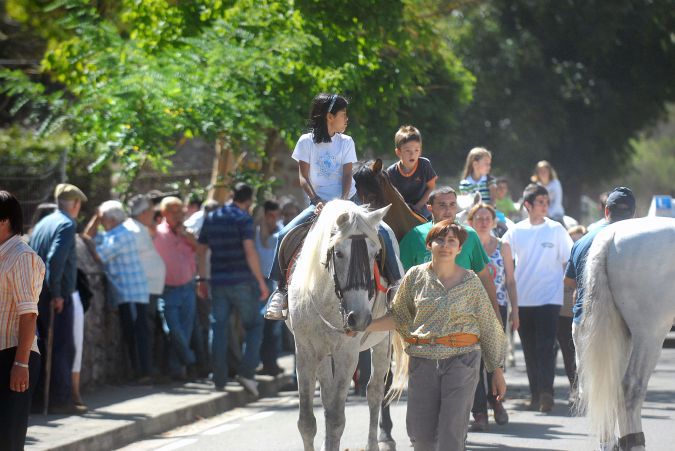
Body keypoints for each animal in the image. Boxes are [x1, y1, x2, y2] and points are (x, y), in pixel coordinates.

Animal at [286, 201, 394, 451]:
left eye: (375, 253)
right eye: (339, 253)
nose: (360, 318)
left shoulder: (347, 354)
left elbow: (336, 420)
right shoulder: (305, 351)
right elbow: (307, 422)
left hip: (383, 342)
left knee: (375, 393)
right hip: (323, 353)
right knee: (327, 398)